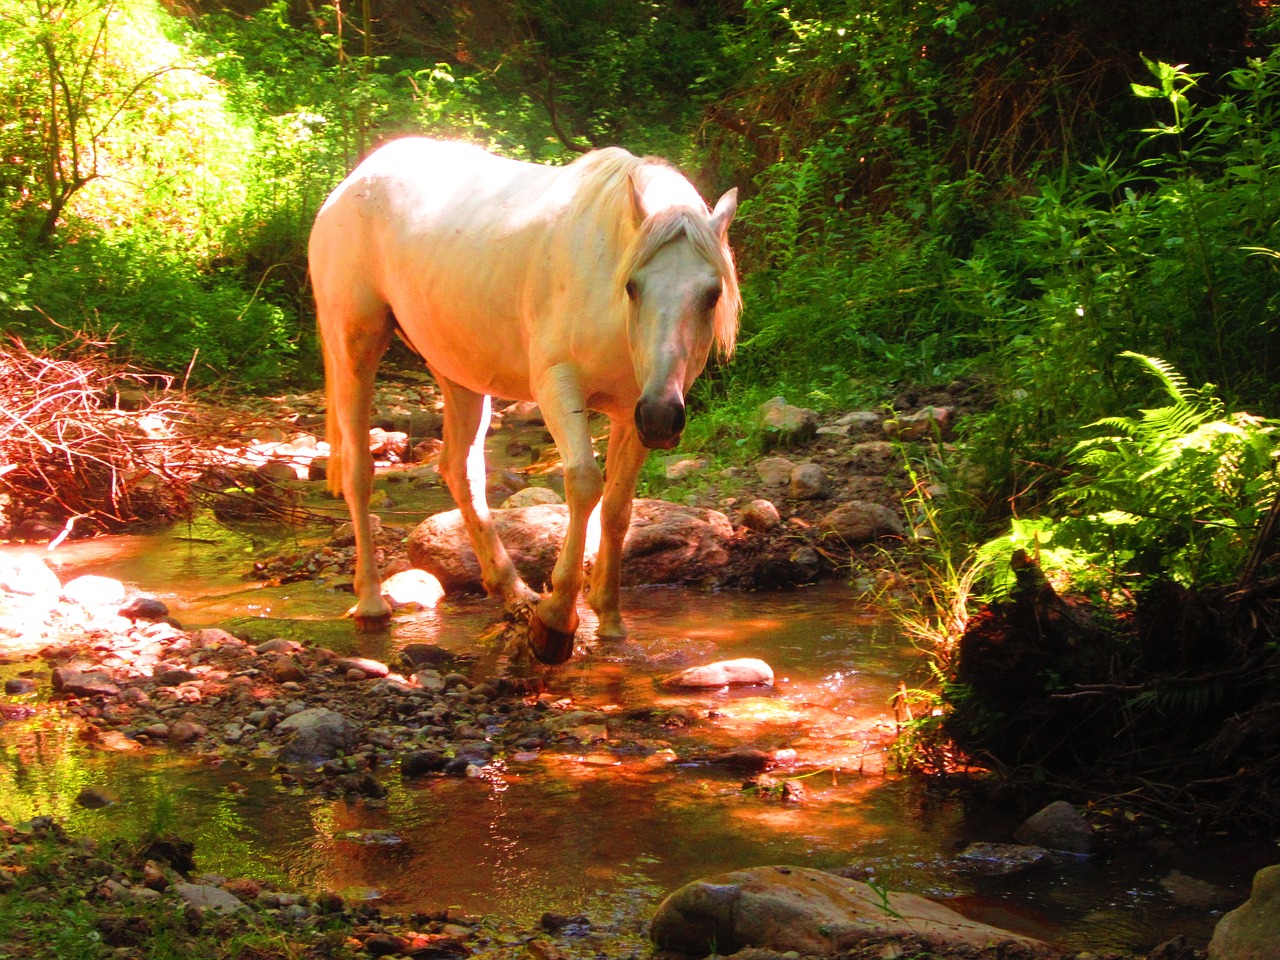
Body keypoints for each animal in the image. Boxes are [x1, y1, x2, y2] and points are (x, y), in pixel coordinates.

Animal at [308, 138, 742, 665]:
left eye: (712, 294)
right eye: (633, 286)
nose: (662, 419)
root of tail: (355, 180)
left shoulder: (634, 410)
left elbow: (618, 508)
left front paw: (610, 621)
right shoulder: (558, 386)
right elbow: (584, 484)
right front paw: (555, 622)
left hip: (458, 369)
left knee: (461, 472)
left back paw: (513, 593)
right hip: (356, 343)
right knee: (360, 471)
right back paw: (373, 603)